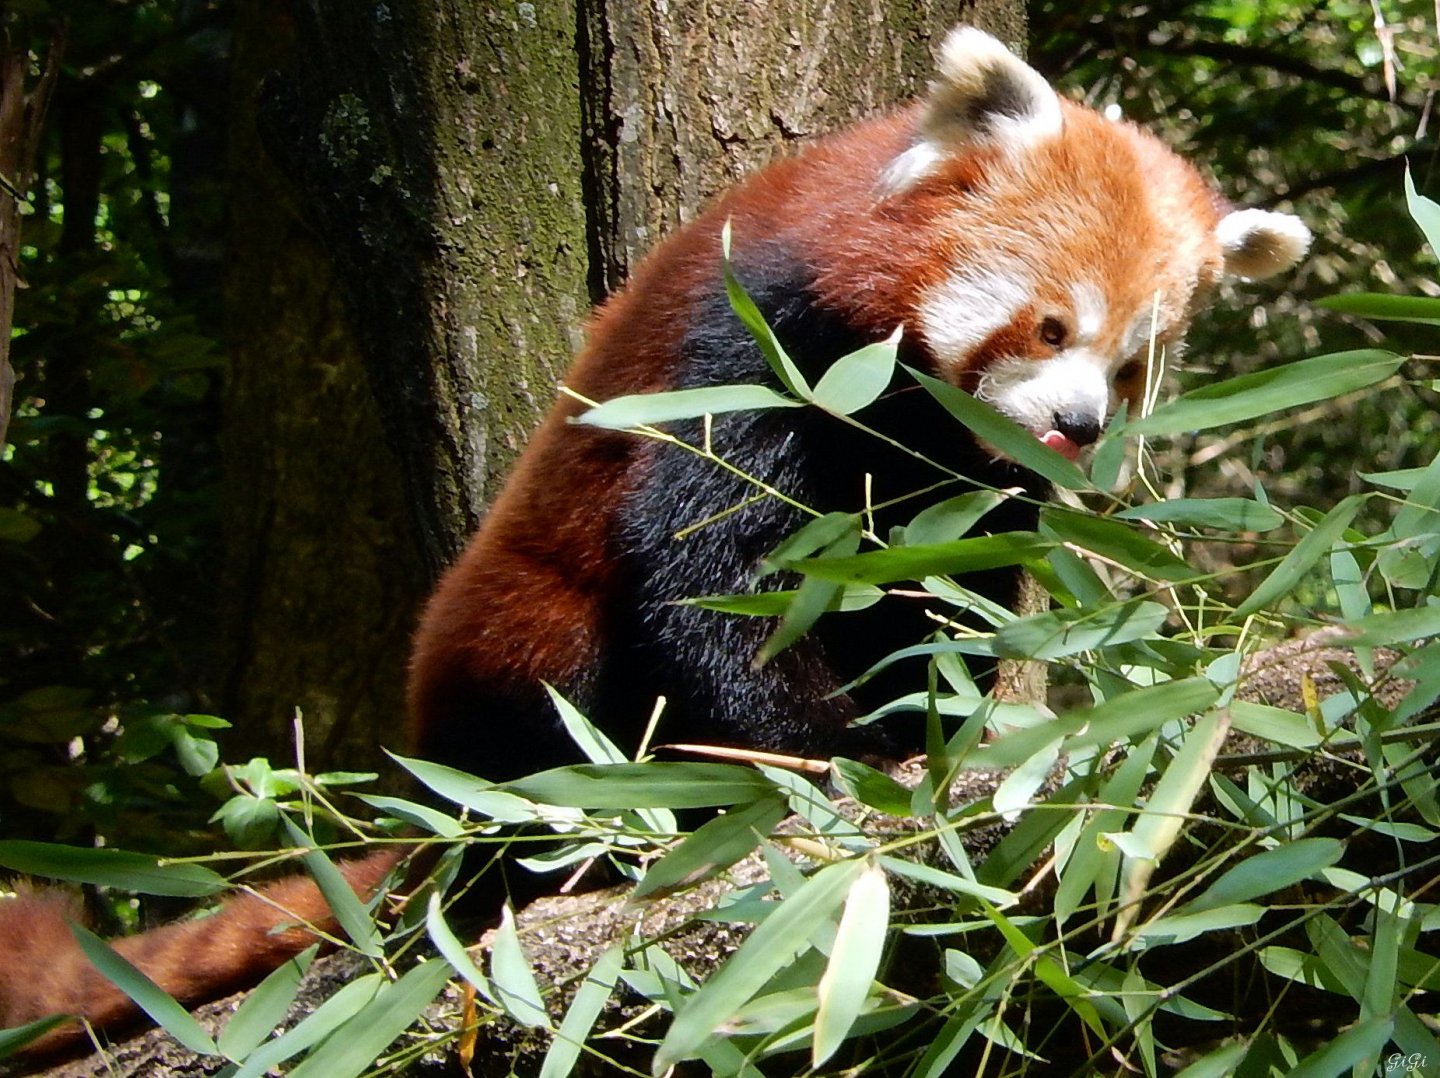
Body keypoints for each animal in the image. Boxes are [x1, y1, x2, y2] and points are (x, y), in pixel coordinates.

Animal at [0, 27, 1307, 1059]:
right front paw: (827, 759)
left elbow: (935, 594)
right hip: (514, 641)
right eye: (1049, 326)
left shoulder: (956, 473)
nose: (1077, 427)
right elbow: (707, 572)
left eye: (1132, 366)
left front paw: (937, 721)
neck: (897, 394)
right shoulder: (755, 340)